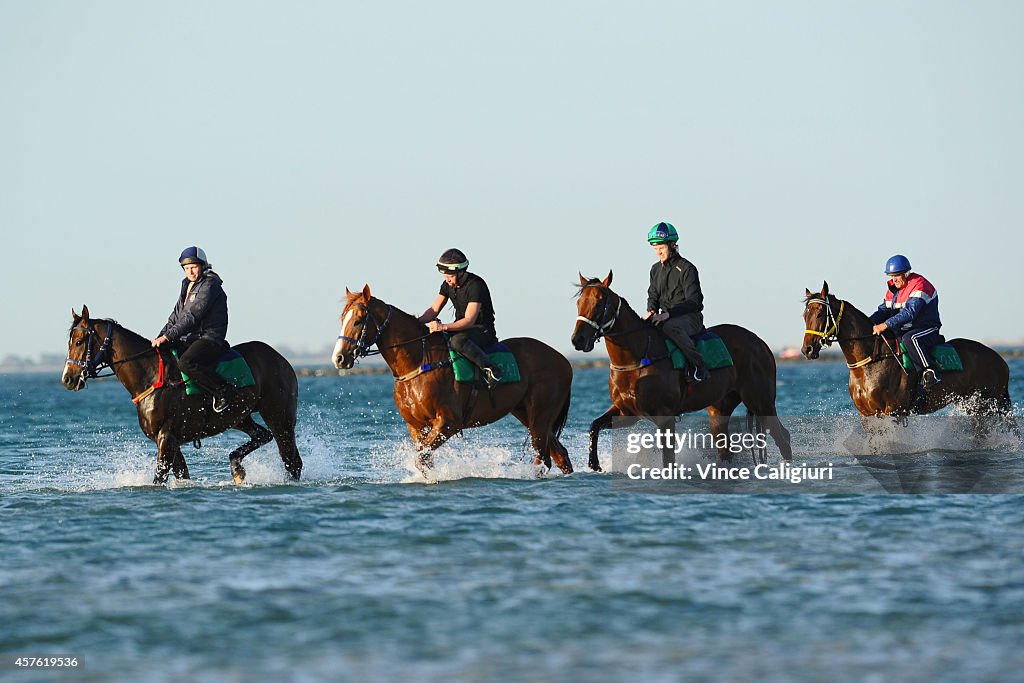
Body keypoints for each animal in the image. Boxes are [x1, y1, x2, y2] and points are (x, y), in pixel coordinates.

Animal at [60, 305, 301, 485]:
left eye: (79, 342)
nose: (67, 379)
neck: (151, 376)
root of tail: (280, 358)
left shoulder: (166, 437)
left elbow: (159, 477)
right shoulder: (171, 440)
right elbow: (182, 475)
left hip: (279, 417)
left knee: (292, 460)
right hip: (240, 416)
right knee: (263, 436)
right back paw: (236, 467)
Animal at [333, 286, 577, 479]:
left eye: (357, 320)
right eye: (342, 319)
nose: (339, 358)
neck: (419, 363)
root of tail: (564, 361)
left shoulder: (448, 422)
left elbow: (422, 459)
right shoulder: (416, 427)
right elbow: (424, 460)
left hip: (540, 415)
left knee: (543, 459)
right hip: (527, 414)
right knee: (559, 455)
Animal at [569, 272, 790, 471]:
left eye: (599, 304)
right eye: (579, 302)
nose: (578, 339)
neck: (637, 359)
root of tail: (761, 343)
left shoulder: (665, 415)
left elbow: (668, 459)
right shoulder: (627, 412)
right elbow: (594, 425)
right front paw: (594, 463)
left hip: (761, 401)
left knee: (783, 437)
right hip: (720, 409)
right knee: (726, 450)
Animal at [806, 278, 1015, 419]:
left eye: (820, 314)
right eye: (804, 315)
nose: (807, 349)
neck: (871, 362)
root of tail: (1000, 360)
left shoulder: (893, 411)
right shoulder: (867, 414)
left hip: (984, 405)